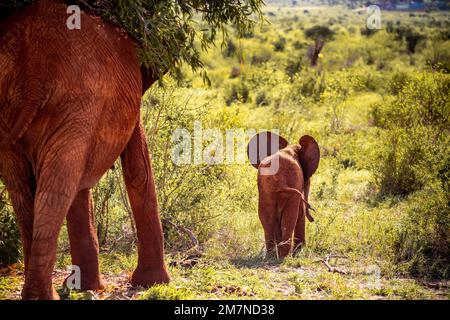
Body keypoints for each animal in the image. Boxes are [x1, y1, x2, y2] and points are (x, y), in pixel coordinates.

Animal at [0, 0, 169, 300]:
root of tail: (35, 67)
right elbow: (137, 169)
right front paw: (151, 284)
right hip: (77, 100)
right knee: (55, 186)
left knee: (30, 190)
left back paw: (39, 295)